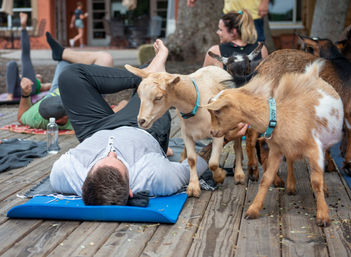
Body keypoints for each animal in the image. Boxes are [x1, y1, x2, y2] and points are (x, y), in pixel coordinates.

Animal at [125, 64, 246, 196]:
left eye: (158, 97)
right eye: (139, 96)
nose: (141, 121)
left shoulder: (217, 134)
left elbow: (213, 163)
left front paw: (220, 176)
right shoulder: (187, 134)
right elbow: (192, 160)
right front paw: (193, 187)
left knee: (237, 146)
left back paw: (239, 174)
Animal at [205, 59, 346, 225]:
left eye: (217, 111)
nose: (212, 132)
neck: (281, 116)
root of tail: (313, 74)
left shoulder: (314, 150)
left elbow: (316, 181)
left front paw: (323, 215)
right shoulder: (276, 151)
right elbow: (266, 178)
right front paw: (253, 210)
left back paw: (323, 189)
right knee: (290, 160)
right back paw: (291, 185)